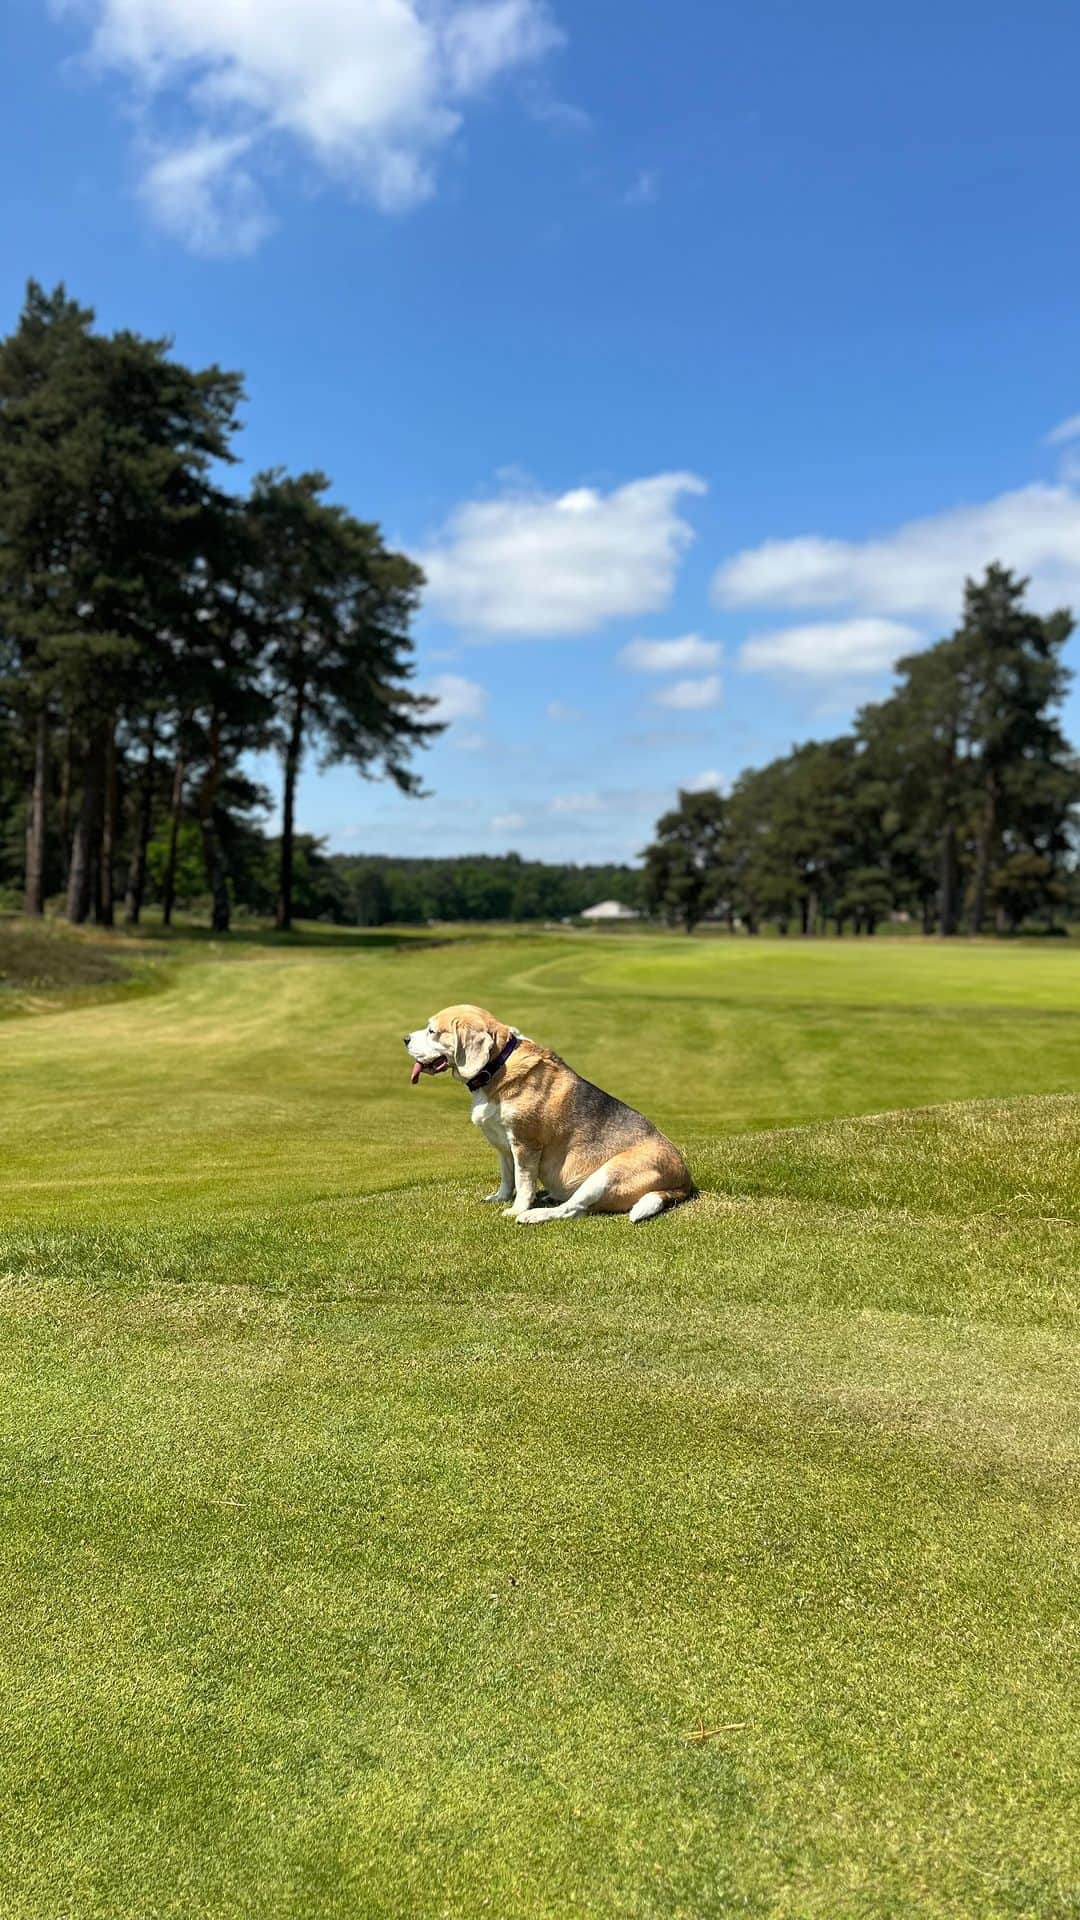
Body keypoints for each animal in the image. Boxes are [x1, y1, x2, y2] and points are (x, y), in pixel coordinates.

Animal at [403, 998, 687, 1221]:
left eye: (432, 1031)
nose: (405, 1039)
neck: (497, 1066)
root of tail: (683, 1180)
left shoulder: (525, 1145)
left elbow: (523, 1182)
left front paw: (517, 1209)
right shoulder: (503, 1146)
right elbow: (507, 1177)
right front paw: (500, 1197)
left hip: (606, 1174)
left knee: (572, 1209)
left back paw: (534, 1214)